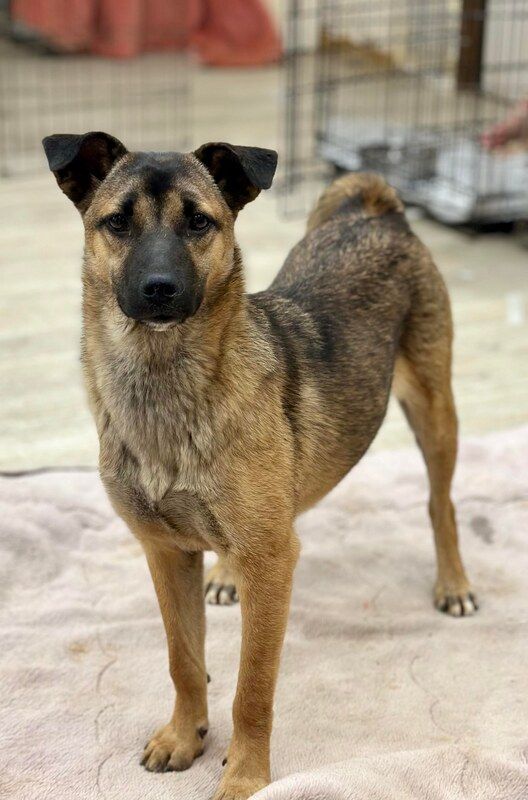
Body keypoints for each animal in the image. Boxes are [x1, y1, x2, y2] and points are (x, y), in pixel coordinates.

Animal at [43, 133, 476, 800]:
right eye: (116, 223)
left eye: (199, 221)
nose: (160, 288)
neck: (167, 384)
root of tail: (375, 211)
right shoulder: (165, 552)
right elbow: (184, 660)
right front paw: (184, 736)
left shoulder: (271, 562)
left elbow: (253, 686)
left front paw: (244, 775)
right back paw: (225, 574)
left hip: (433, 407)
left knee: (441, 502)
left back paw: (453, 583)